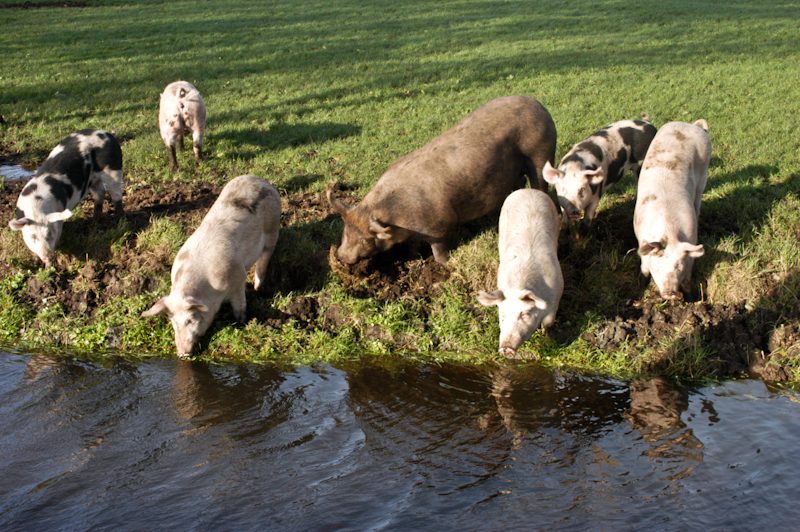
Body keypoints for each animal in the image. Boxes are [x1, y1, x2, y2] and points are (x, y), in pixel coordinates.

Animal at [8, 129, 124, 266]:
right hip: (93, 180)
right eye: (33, 236)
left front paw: (49, 267)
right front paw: (36, 261)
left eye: (49, 233)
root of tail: (108, 134)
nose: (48, 256)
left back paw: (120, 222)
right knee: (100, 191)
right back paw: (94, 220)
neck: (36, 207)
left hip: (114, 168)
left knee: (116, 195)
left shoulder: (58, 218)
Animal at [142, 175, 281, 357]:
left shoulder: (237, 278)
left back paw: (258, 288)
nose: (182, 353)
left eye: (190, 319)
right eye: (173, 321)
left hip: (273, 228)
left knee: (264, 259)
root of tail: (261, 180)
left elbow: (240, 306)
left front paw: (241, 322)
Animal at [327, 95, 557, 264]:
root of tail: (538, 104)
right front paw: (413, 261)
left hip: (541, 152)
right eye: (345, 231)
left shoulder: (440, 226)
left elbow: (438, 249)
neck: (397, 214)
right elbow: (411, 247)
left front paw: (443, 265)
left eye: (365, 239)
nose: (342, 256)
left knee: (539, 182)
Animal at [477, 188, 564, 356]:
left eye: (524, 314)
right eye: (502, 314)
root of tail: (529, 190)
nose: (506, 348)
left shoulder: (556, 297)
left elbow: (548, 323)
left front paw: (547, 337)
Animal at [634, 119, 711, 300]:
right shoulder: (643, 243)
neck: (669, 231)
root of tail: (690, 125)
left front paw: (690, 299)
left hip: (703, 175)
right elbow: (644, 271)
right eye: (658, 266)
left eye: (678, 267)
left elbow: (688, 279)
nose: (669, 294)